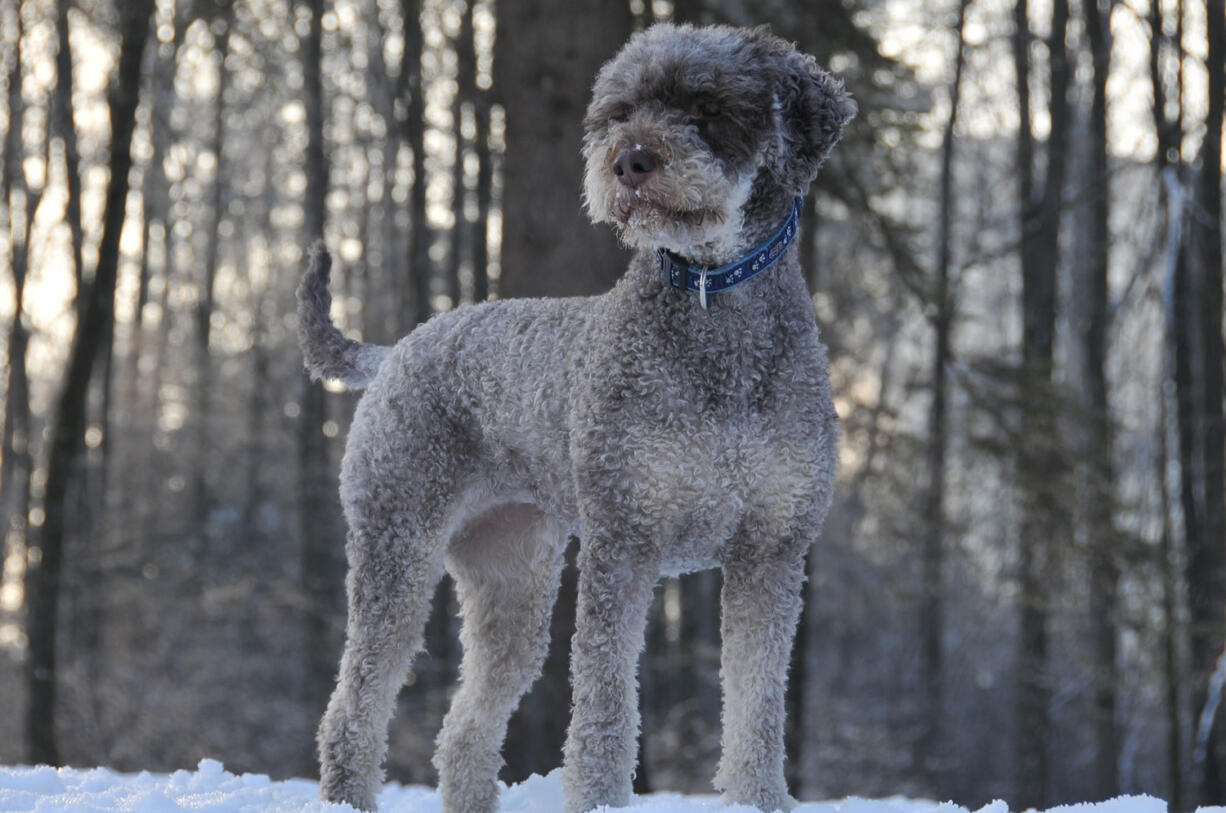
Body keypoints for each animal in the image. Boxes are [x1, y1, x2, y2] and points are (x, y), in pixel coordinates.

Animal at [297, 22, 853, 813]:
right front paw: (598, 796)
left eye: (706, 106)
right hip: (396, 550)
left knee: (464, 725)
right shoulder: (624, 542)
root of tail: (397, 347)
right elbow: (605, 703)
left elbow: (757, 706)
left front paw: (760, 799)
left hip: (513, 581)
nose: (631, 160)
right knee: (354, 705)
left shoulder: (771, 552)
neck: (717, 309)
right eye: (620, 111)